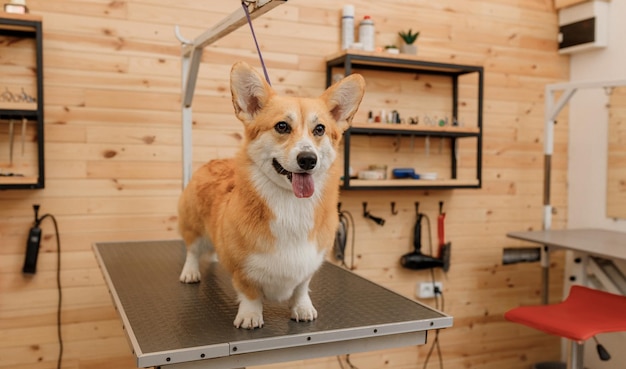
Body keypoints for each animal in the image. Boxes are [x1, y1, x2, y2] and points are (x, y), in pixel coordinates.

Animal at [177, 61, 366, 328]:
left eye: (319, 129)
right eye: (282, 126)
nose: (308, 159)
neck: (291, 203)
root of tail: (212, 161)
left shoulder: (308, 265)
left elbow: (301, 289)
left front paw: (302, 308)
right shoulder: (243, 269)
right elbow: (249, 293)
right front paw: (250, 316)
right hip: (193, 226)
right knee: (192, 250)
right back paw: (190, 272)